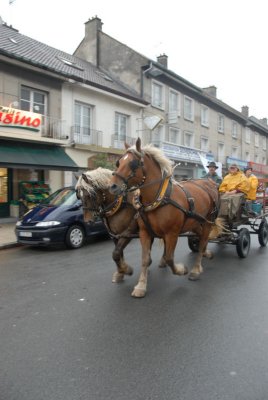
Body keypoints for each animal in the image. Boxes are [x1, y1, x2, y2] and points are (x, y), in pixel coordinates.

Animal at [109, 138, 222, 296]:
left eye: (133, 163)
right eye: (118, 163)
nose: (112, 186)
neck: (159, 198)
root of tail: (209, 183)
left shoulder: (172, 233)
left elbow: (169, 258)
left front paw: (182, 270)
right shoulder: (144, 233)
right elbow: (145, 259)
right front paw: (141, 285)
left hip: (208, 221)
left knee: (202, 242)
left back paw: (195, 269)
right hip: (195, 222)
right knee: (201, 239)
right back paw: (206, 255)